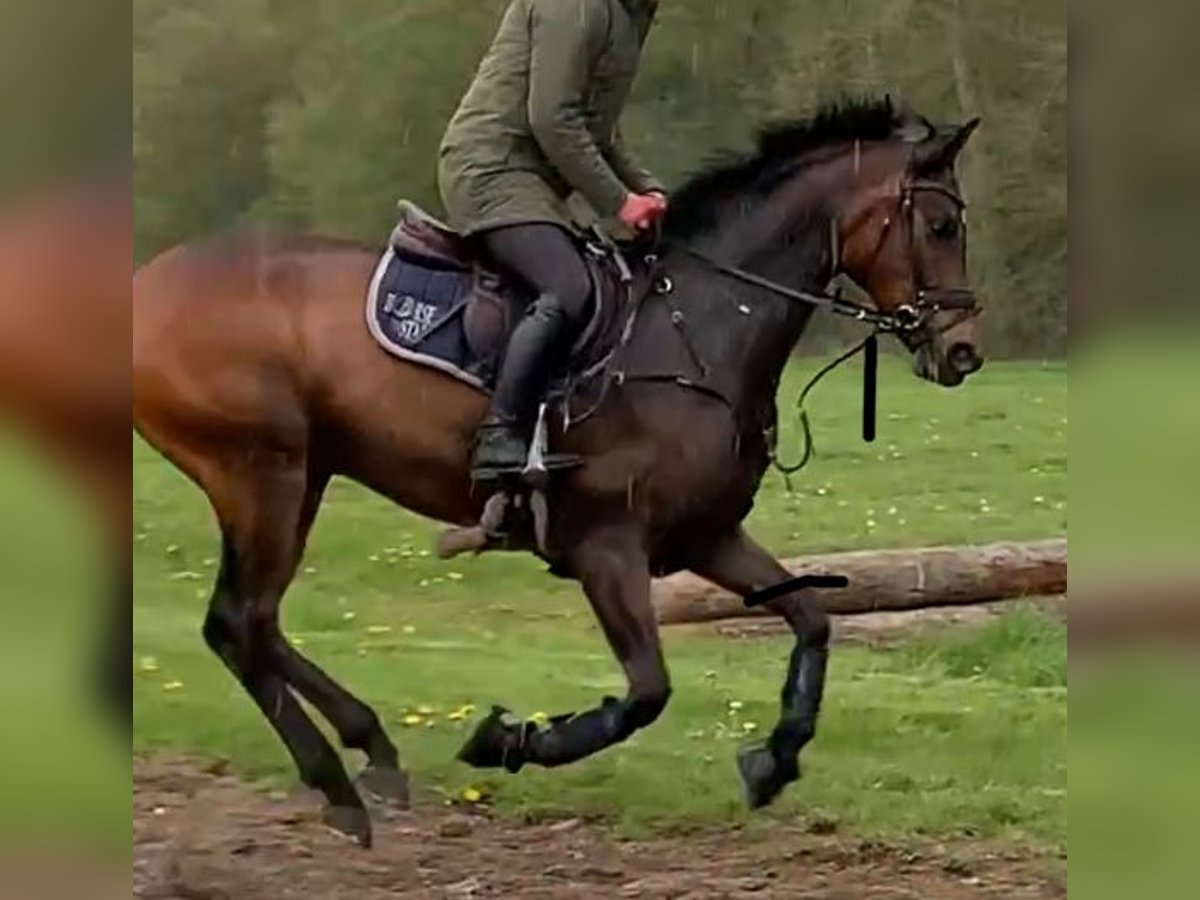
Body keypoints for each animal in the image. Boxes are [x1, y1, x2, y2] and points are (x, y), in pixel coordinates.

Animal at [131, 100, 979, 854]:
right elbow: (646, 693)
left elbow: (812, 620)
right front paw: (508, 739)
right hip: (260, 474)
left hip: (304, 475)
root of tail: (149, 283)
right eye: (942, 226)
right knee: (237, 624)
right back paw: (340, 786)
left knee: (257, 624)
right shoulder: (606, 549)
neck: (698, 327)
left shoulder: (706, 535)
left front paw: (773, 761)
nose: (964, 350)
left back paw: (371, 749)